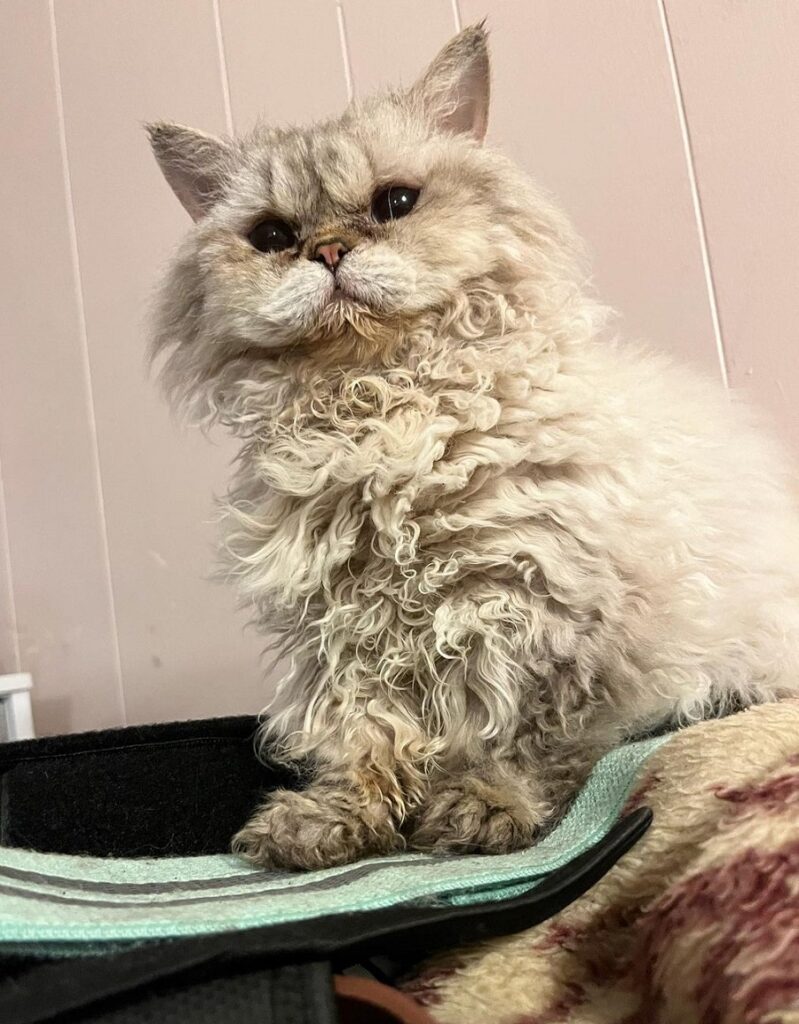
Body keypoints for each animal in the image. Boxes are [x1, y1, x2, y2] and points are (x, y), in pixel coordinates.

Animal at [146, 24, 799, 868]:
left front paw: (481, 807)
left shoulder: (547, 626)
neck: (383, 417)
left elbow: (513, 740)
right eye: (273, 237)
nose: (328, 252)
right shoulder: (341, 640)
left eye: (394, 203)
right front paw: (334, 823)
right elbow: (363, 742)